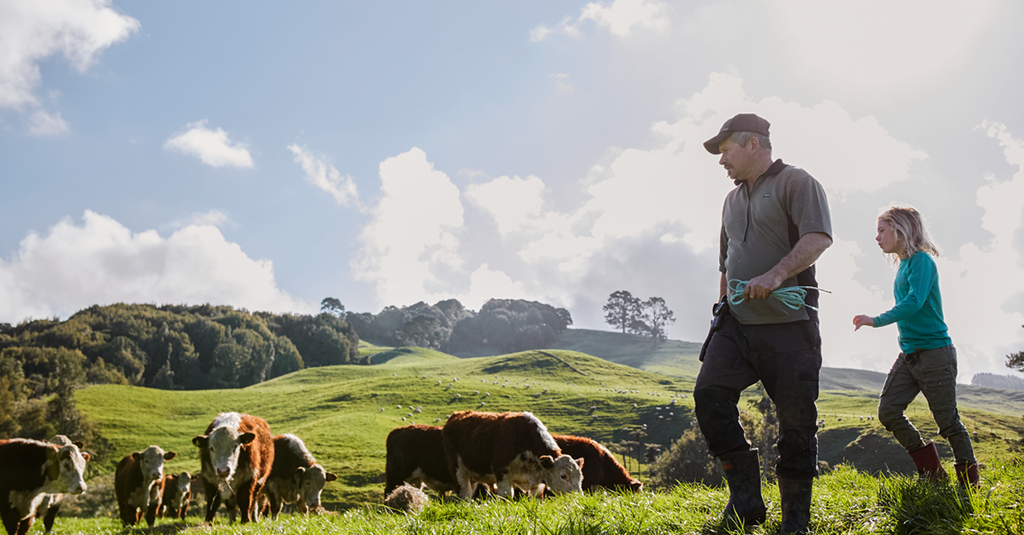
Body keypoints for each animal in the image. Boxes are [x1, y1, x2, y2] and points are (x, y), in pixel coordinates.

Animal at [440, 407, 585, 500]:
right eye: (563, 476)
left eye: (581, 477)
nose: (577, 498)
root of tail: (456, 415)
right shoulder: (502, 471)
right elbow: (506, 496)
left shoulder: (538, 482)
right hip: (458, 471)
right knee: (464, 494)